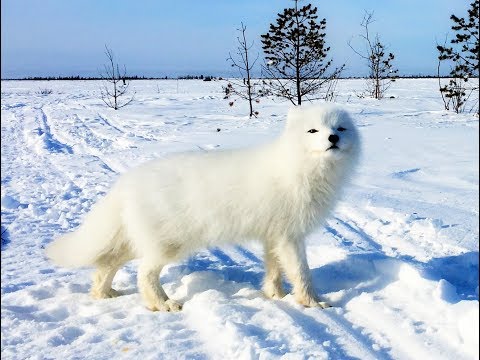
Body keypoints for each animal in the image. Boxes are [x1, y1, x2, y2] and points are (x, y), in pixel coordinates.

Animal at [46, 102, 360, 310]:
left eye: (340, 128)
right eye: (313, 130)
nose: (333, 138)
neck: (297, 166)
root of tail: (126, 181)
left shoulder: (273, 236)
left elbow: (274, 271)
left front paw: (276, 296)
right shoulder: (290, 236)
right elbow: (301, 273)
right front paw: (312, 303)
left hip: (137, 240)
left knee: (107, 263)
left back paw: (103, 294)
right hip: (168, 243)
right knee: (143, 273)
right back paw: (163, 304)